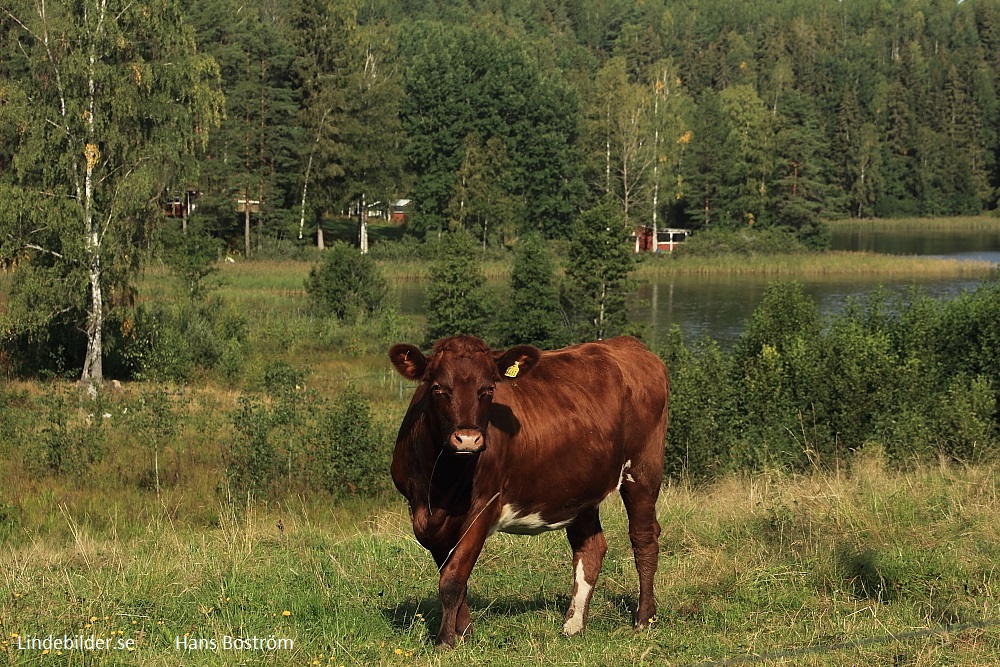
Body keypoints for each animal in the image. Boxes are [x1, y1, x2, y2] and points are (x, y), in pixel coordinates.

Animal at [386, 334, 668, 648]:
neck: (440, 487)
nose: (468, 439)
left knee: (643, 538)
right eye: (437, 387)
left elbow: (452, 578)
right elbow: (453, 573)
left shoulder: (486, 504)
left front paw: (445, 641)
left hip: (643, 469)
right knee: (591, 548)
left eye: (489, 389)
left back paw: (643, 619)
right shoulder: (422, 513)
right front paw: (465, 632)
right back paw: (572, 625)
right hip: (579, 488)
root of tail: (627, 343)